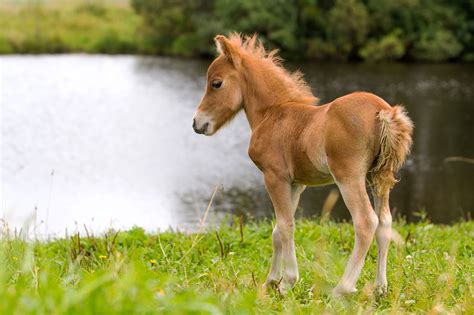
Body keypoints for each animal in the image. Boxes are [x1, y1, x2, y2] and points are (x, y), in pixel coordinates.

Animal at [191, 34, 412, 296]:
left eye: (216, 83)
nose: (197, 123)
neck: (272, 114)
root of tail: (384, 112)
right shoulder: (296, 183)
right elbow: (278, 230)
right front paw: (270, 281)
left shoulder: (274, 177)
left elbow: (287, 226)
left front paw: (287, 282)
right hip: (379, 177)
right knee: (385, 223)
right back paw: (380, 287)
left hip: (349, 177)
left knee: (366, 222)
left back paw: (341, 289)